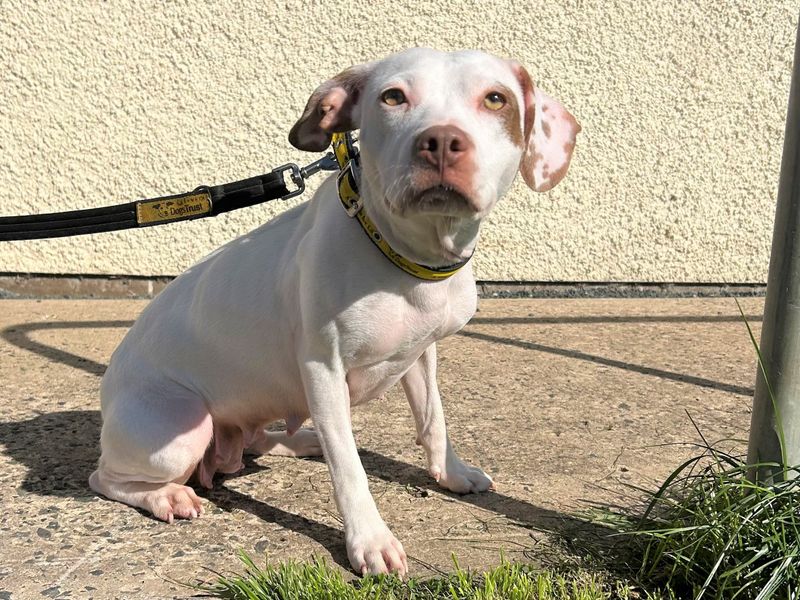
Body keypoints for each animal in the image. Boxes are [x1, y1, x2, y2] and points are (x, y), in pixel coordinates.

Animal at [87, 48, 580, 576]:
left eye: (495, 99)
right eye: (393, 96)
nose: (442, 142)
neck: (406, 254)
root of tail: (110, 382)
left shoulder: (420, 354)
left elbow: (434, 421)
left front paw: (451, 473)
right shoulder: (322, 368)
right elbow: (349, 468)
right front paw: (370, 540)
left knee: (252, 442)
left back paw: (298, 441)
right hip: (179, 429)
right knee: (106, 478)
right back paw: (166, 497)